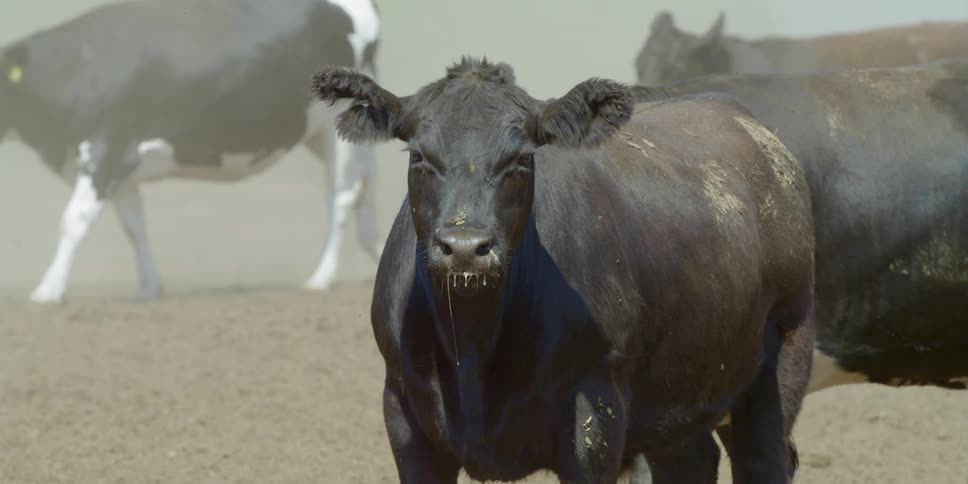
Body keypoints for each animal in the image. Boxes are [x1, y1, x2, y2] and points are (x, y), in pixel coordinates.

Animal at [0, 0, 383, 303]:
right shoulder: (122, 168)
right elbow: (134, 227)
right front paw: (149, 289)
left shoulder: (108, 150)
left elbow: (74, 221)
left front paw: (48, 291)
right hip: (322, 133)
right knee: (362, 188)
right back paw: (375, 254)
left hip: (333, 129)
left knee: (341, 196)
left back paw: (321, 278)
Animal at [312, 57, 816, 483]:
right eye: (419, 156)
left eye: (521, 158)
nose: (465, 248)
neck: (472, 345)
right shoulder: (404, 417)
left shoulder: (594, 417)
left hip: (781, 357)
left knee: (764, 459)